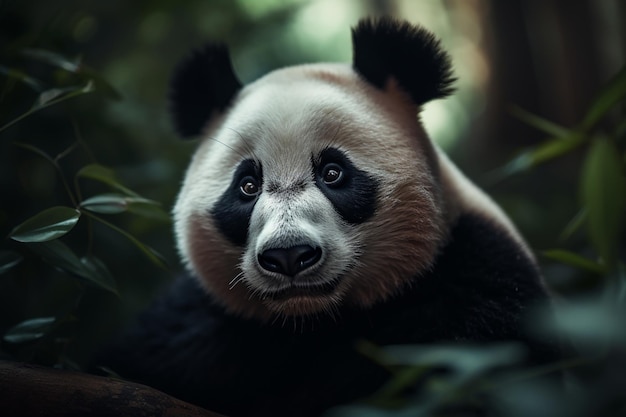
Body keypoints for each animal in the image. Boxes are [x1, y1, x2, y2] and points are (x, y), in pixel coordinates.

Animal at [97, 17, 556, 416]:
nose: (288, 255)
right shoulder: (200, 326)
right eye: (247, 186)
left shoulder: (475, 283)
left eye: (333, 173)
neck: (314, 321)